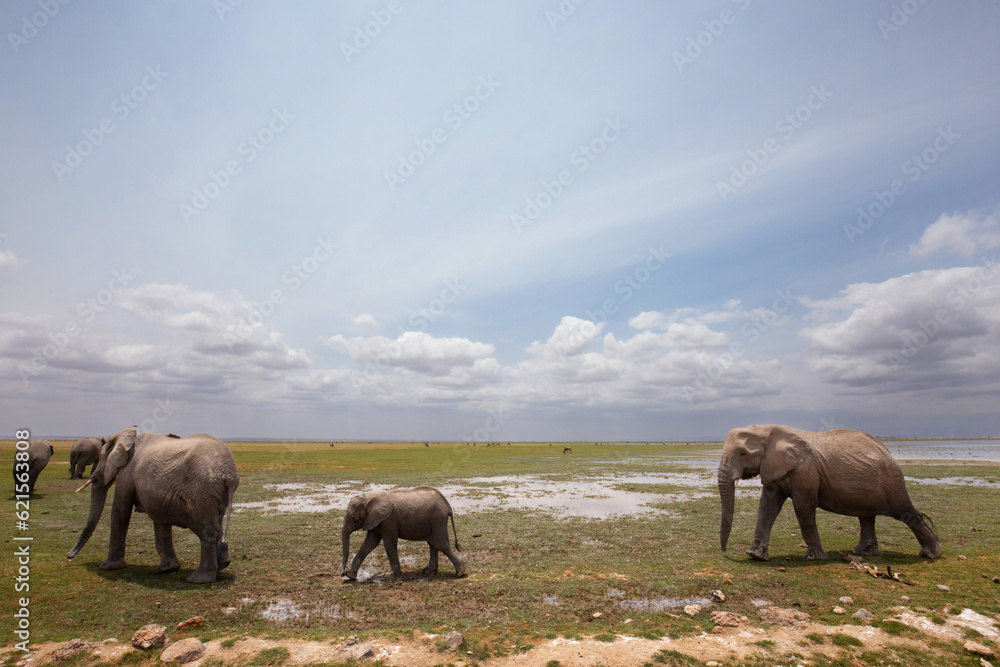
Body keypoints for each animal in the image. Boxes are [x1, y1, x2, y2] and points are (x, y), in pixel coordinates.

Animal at [66, 426, 240, 583]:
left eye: (102, 459)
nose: (69, 556)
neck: (125, 438)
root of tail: (228, 474)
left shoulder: (127, 474)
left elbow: (120, 512)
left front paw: (108, 567)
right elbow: (160, 520)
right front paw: (167, 569)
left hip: (202, 491)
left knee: (206, 531)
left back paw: (199, 579)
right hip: (214, 493)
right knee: (216, 526)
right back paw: (221, 565)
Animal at [718, 424, 942, 562]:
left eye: (743, 453)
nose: (724, 551)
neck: (768, 430)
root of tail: (886, 450)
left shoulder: (805, 471)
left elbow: (803, 508)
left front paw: (814, 558)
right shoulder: (774, 467)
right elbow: (767, 507)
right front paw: (755, 555)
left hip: (891, 481)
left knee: (906, 513)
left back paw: (932, 554)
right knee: (867, 516)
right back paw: (864, 552)